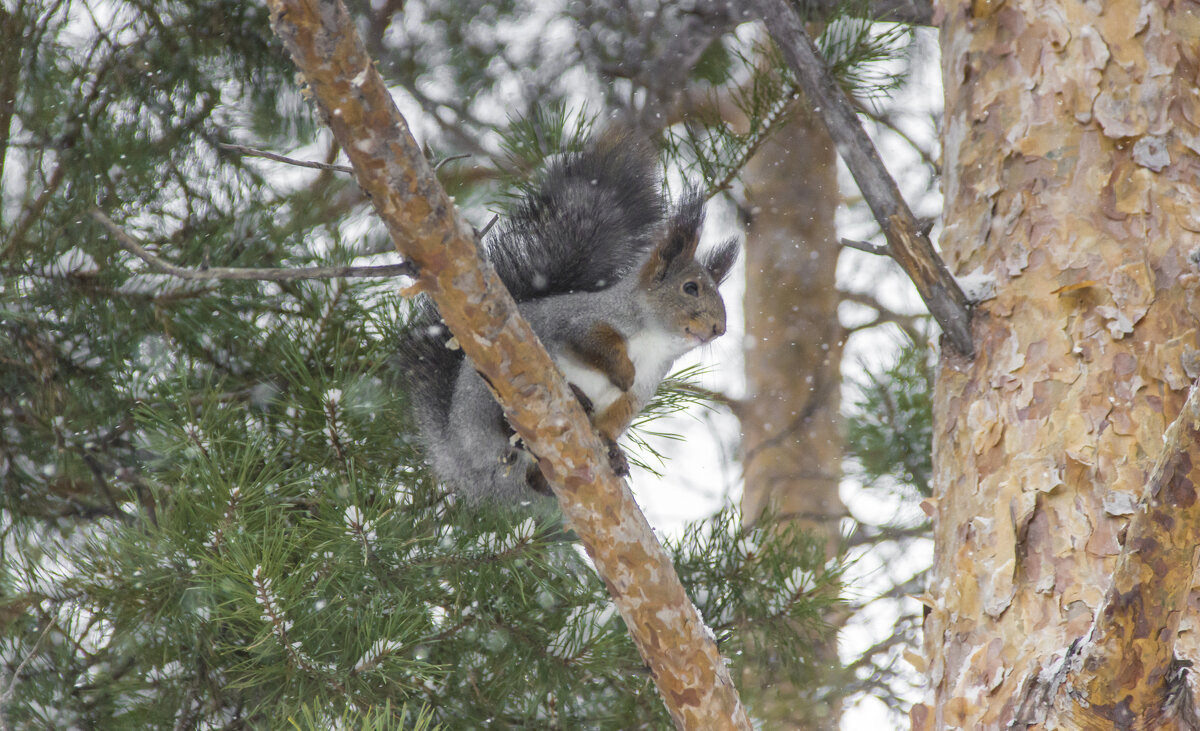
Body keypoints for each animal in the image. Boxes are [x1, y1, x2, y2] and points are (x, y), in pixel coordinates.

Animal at [400, 133, 739, 504]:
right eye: (690, 288)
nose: (719, 329)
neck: (655, 341)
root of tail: (457, 457)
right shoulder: (583, 322)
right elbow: (596, 344)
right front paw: (623, 371)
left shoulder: (640, 391)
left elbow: (614, 419)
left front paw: (612, 450)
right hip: (485, 398)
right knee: (503, 427)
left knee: (536, 482)